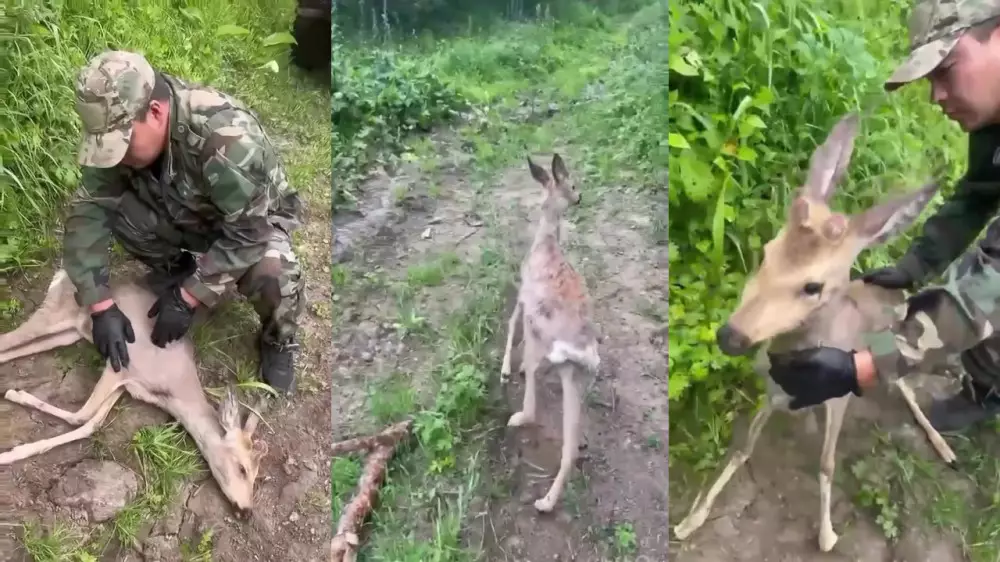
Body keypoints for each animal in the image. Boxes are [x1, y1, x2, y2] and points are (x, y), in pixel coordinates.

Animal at [0, 266, 268, 516]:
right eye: (242, 468)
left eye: (257, 474)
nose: (247, 510)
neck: (173, 389)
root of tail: (62, 273)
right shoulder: (120, 365)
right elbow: (82, 415)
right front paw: (15, 397)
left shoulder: (126, 386)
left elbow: (91, 424)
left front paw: (14, 451)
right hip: (53, 315)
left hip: (68, 333)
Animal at [500, 153, 600, 512]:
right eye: (573, 183)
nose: (580, 196)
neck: (546, 243)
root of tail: (584, 352)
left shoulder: (522, 294)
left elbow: (510, 322)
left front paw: (504, 369)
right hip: (576, 377)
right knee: (570, 446)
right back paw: (547, 499)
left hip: (545, 345)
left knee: (532, 406)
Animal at [672, 110, 960, 552]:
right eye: (767, 253)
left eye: (813, 286)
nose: (731, 336)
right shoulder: (773, 391)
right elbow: (741, 450)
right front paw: (690, 520)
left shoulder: (839, 393)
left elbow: (826, 464)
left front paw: (826, 534)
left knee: (909, 387)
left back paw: (944, 446)